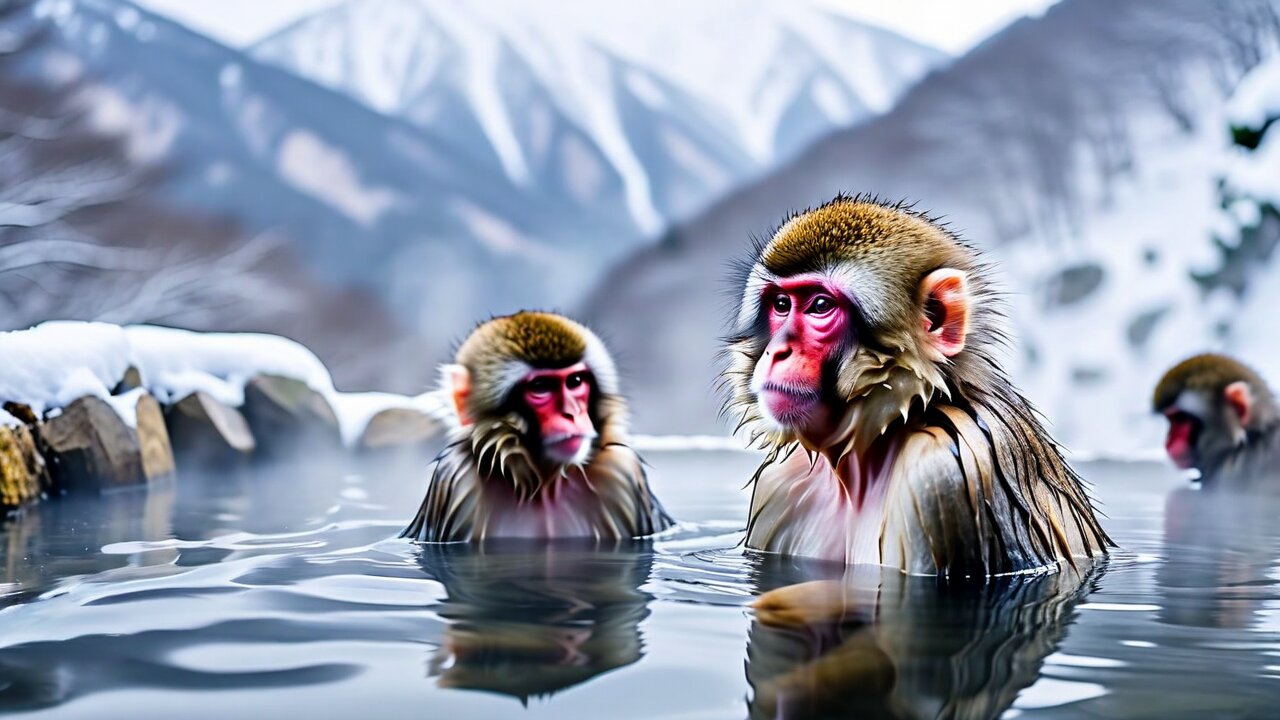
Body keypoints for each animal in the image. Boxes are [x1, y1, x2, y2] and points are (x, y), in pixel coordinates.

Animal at [401, 311, 672, 542]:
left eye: (575, 381)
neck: (545, 484)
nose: (571, 413)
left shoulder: (623, 471)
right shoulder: (455, 478)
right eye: (540, 387)